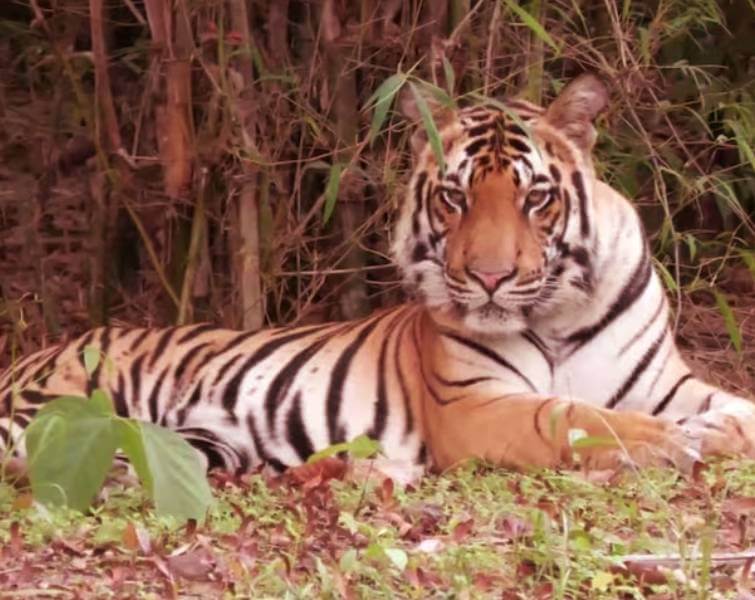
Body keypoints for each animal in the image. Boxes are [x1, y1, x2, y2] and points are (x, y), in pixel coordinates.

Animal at [0, 75, 752, 476]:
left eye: (534, 198)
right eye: (454, 198)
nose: (488, 277)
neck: (558, 312)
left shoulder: (665, 383)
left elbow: (732, 403)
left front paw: (719, 428)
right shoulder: (475, 406)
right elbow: (574, 416)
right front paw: (671, 441)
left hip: (202, 444)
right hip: (56, 408)